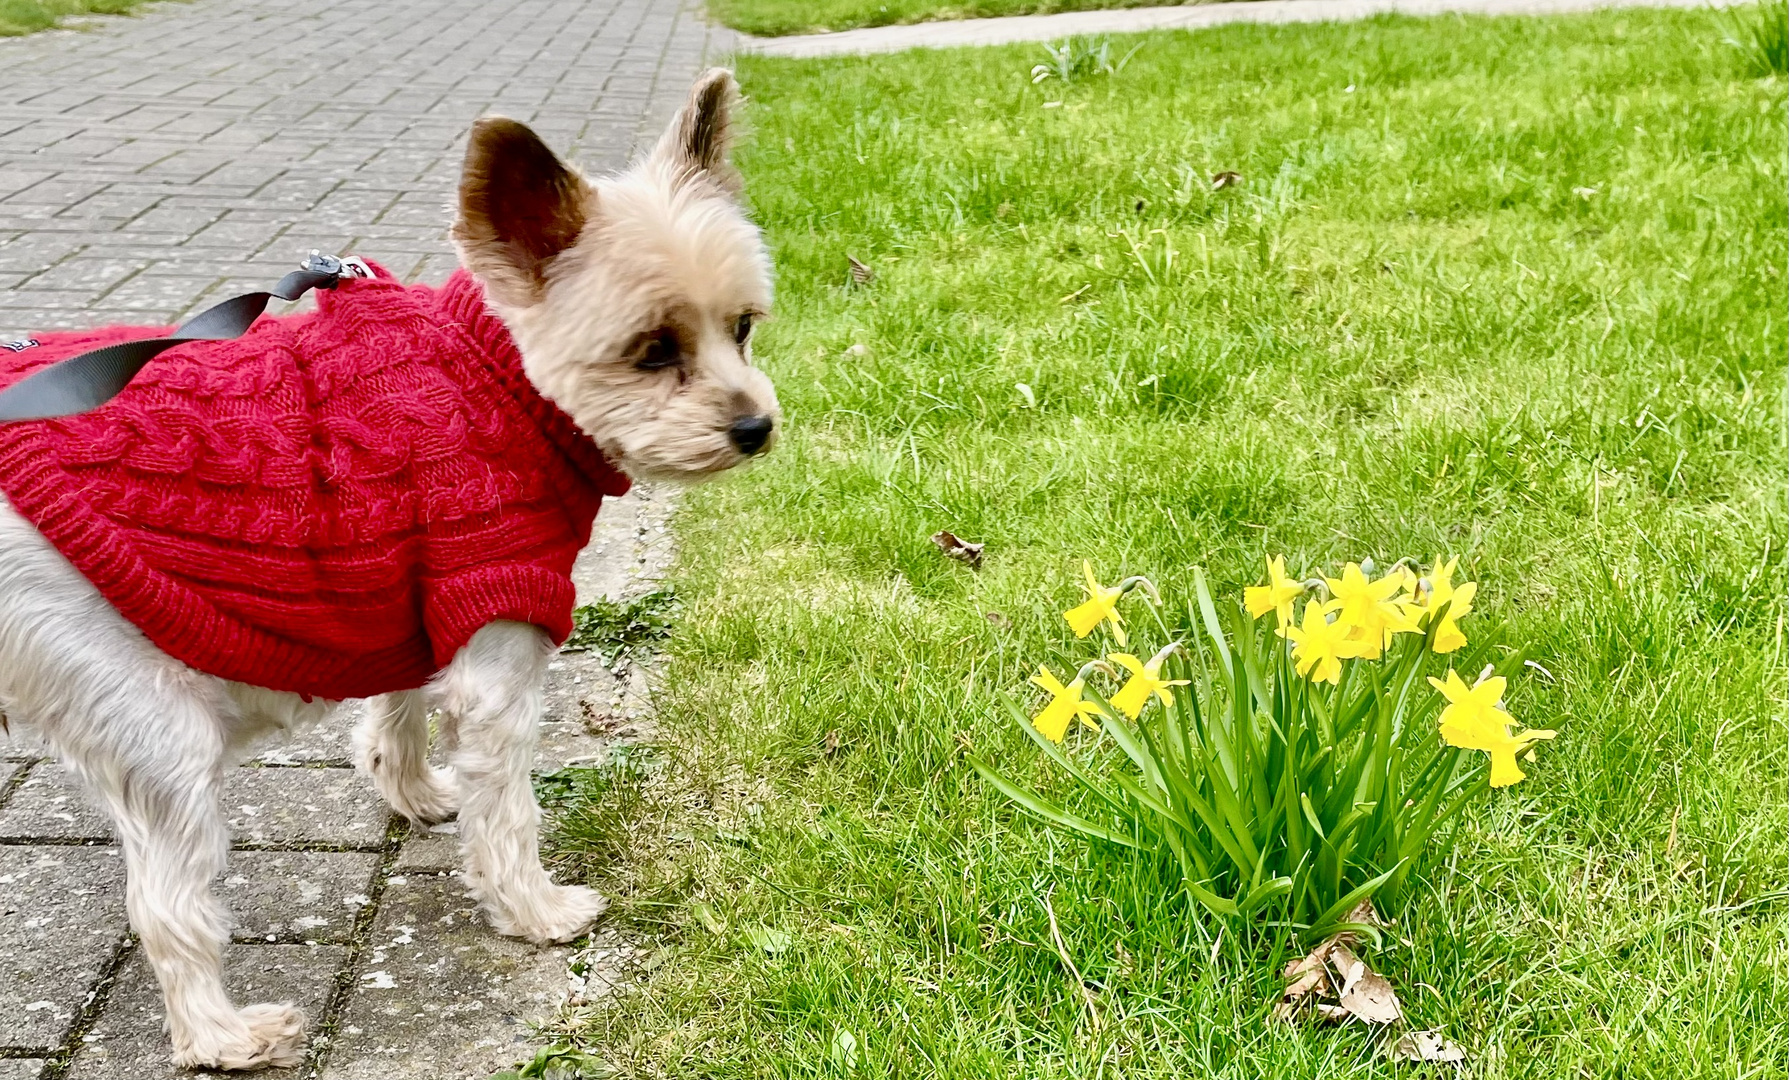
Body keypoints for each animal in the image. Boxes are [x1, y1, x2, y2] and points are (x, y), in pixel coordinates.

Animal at [0, 69, 776, 1072]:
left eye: (742, 328)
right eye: (652, 351)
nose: (757, 427)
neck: (498, 377)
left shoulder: (411, 589)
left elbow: (399, 710)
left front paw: (410, 793)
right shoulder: (494, 630)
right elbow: (507, 807)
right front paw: (535, 909)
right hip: (152, 727)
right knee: (167, 905)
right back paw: (225, 1035)